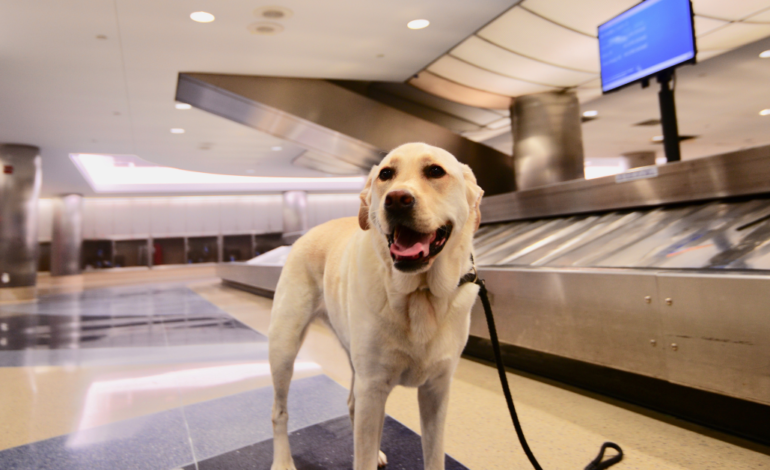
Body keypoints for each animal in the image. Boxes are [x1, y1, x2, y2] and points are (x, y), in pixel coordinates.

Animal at [268, 143, 480, 470]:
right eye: (385, 174)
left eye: (435, 171)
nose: (397, 199)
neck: (419, 294)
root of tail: (309, 232)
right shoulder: (374, 386)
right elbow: (362, 456)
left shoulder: (436, 390)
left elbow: (434, 455)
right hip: (284, 347)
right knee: (279, 413)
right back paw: (282, 461)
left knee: (352, 405)